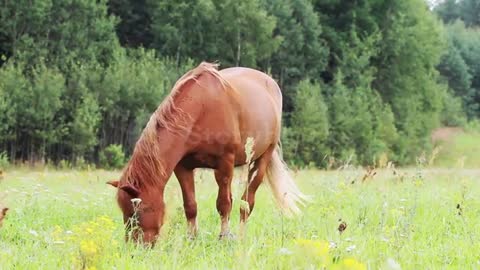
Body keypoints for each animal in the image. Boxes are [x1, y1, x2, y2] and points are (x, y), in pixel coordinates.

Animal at [107, 61, 310, 245]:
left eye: (138, 212)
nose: (135, 247)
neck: (202, 109)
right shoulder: (183, 167)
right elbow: (190, 205)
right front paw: (191, 238)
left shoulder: (224, 164)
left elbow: (224, 204)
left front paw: (224, 237)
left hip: (261, 159)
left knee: (246, 203)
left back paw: (241, 236)